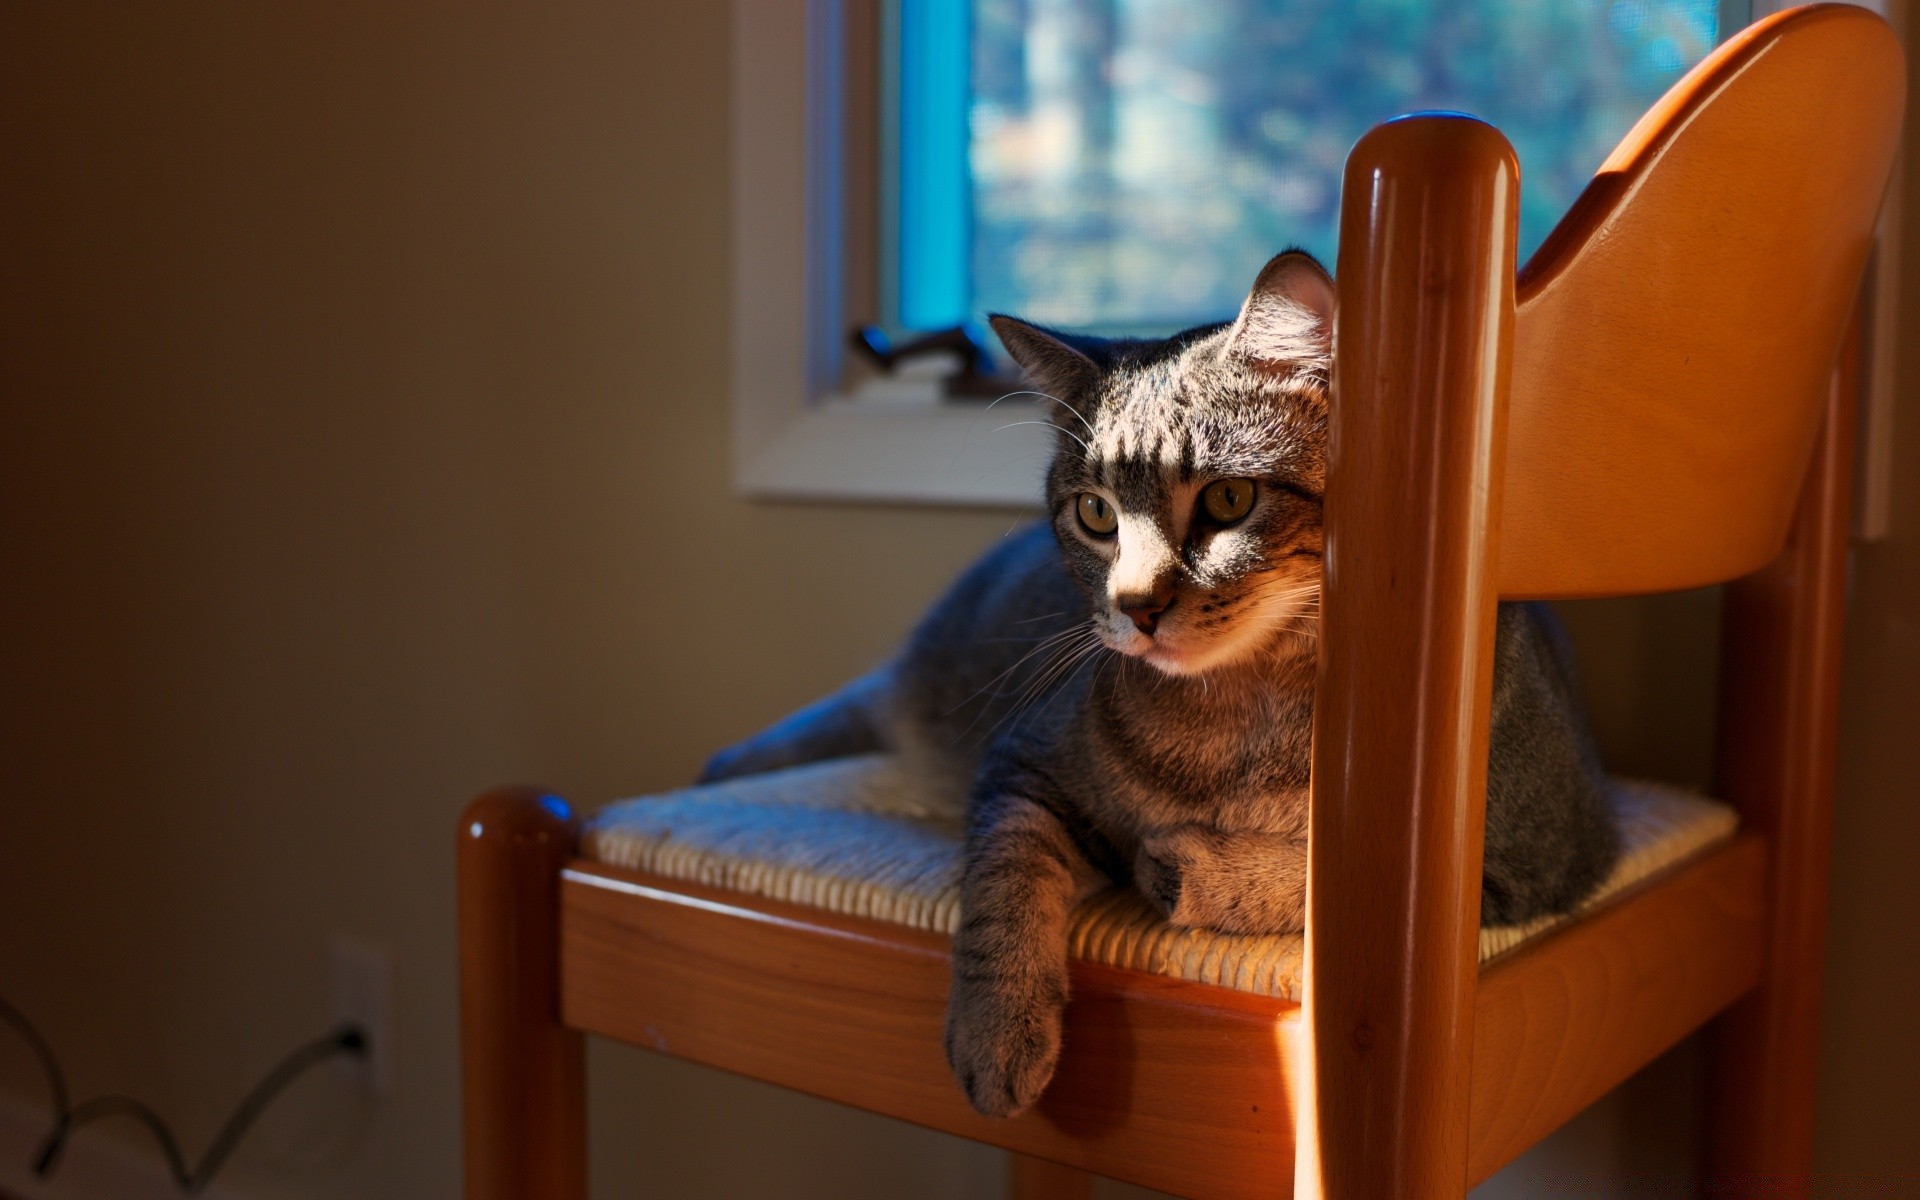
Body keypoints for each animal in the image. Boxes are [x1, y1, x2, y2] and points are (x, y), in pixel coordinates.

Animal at [698, 247, 1612, 1121]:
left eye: (1230, 498)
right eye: (1095, 513)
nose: (1135, 606)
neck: (1246, 723)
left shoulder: (1527, 867)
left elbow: (1324, 886)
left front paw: (1188, 867)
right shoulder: (1021, 764)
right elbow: (1003, 885)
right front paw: (996, 1032)